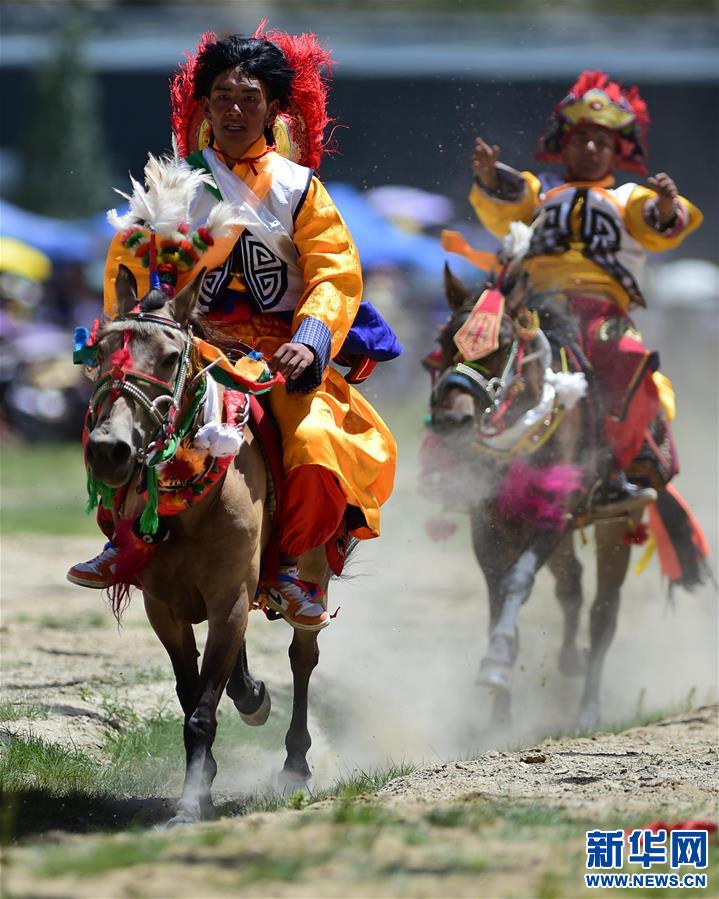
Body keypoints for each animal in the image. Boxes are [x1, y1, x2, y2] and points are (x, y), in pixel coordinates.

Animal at [86, 264, 332, 828]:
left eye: (170, 357)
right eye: (101, 351)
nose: (109, 450)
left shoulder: (230, 598)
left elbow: (201, 710)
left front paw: (190, 805)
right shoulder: (163, 607)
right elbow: (189, 690)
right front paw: (205, 780)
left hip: (313, 572)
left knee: (302, 656)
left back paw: (296, 764)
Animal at [428, 266, 660, 732]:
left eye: (500, 344)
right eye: (445, 339)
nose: (450, 419)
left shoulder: (556, 514)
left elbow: (517, 582)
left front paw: (497, 661)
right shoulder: (491, 521)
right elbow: (498, 597)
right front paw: (500, 715)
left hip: (614, 524)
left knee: (602, 612)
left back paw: (588, 710)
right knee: (571, 585)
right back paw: (570, 659)